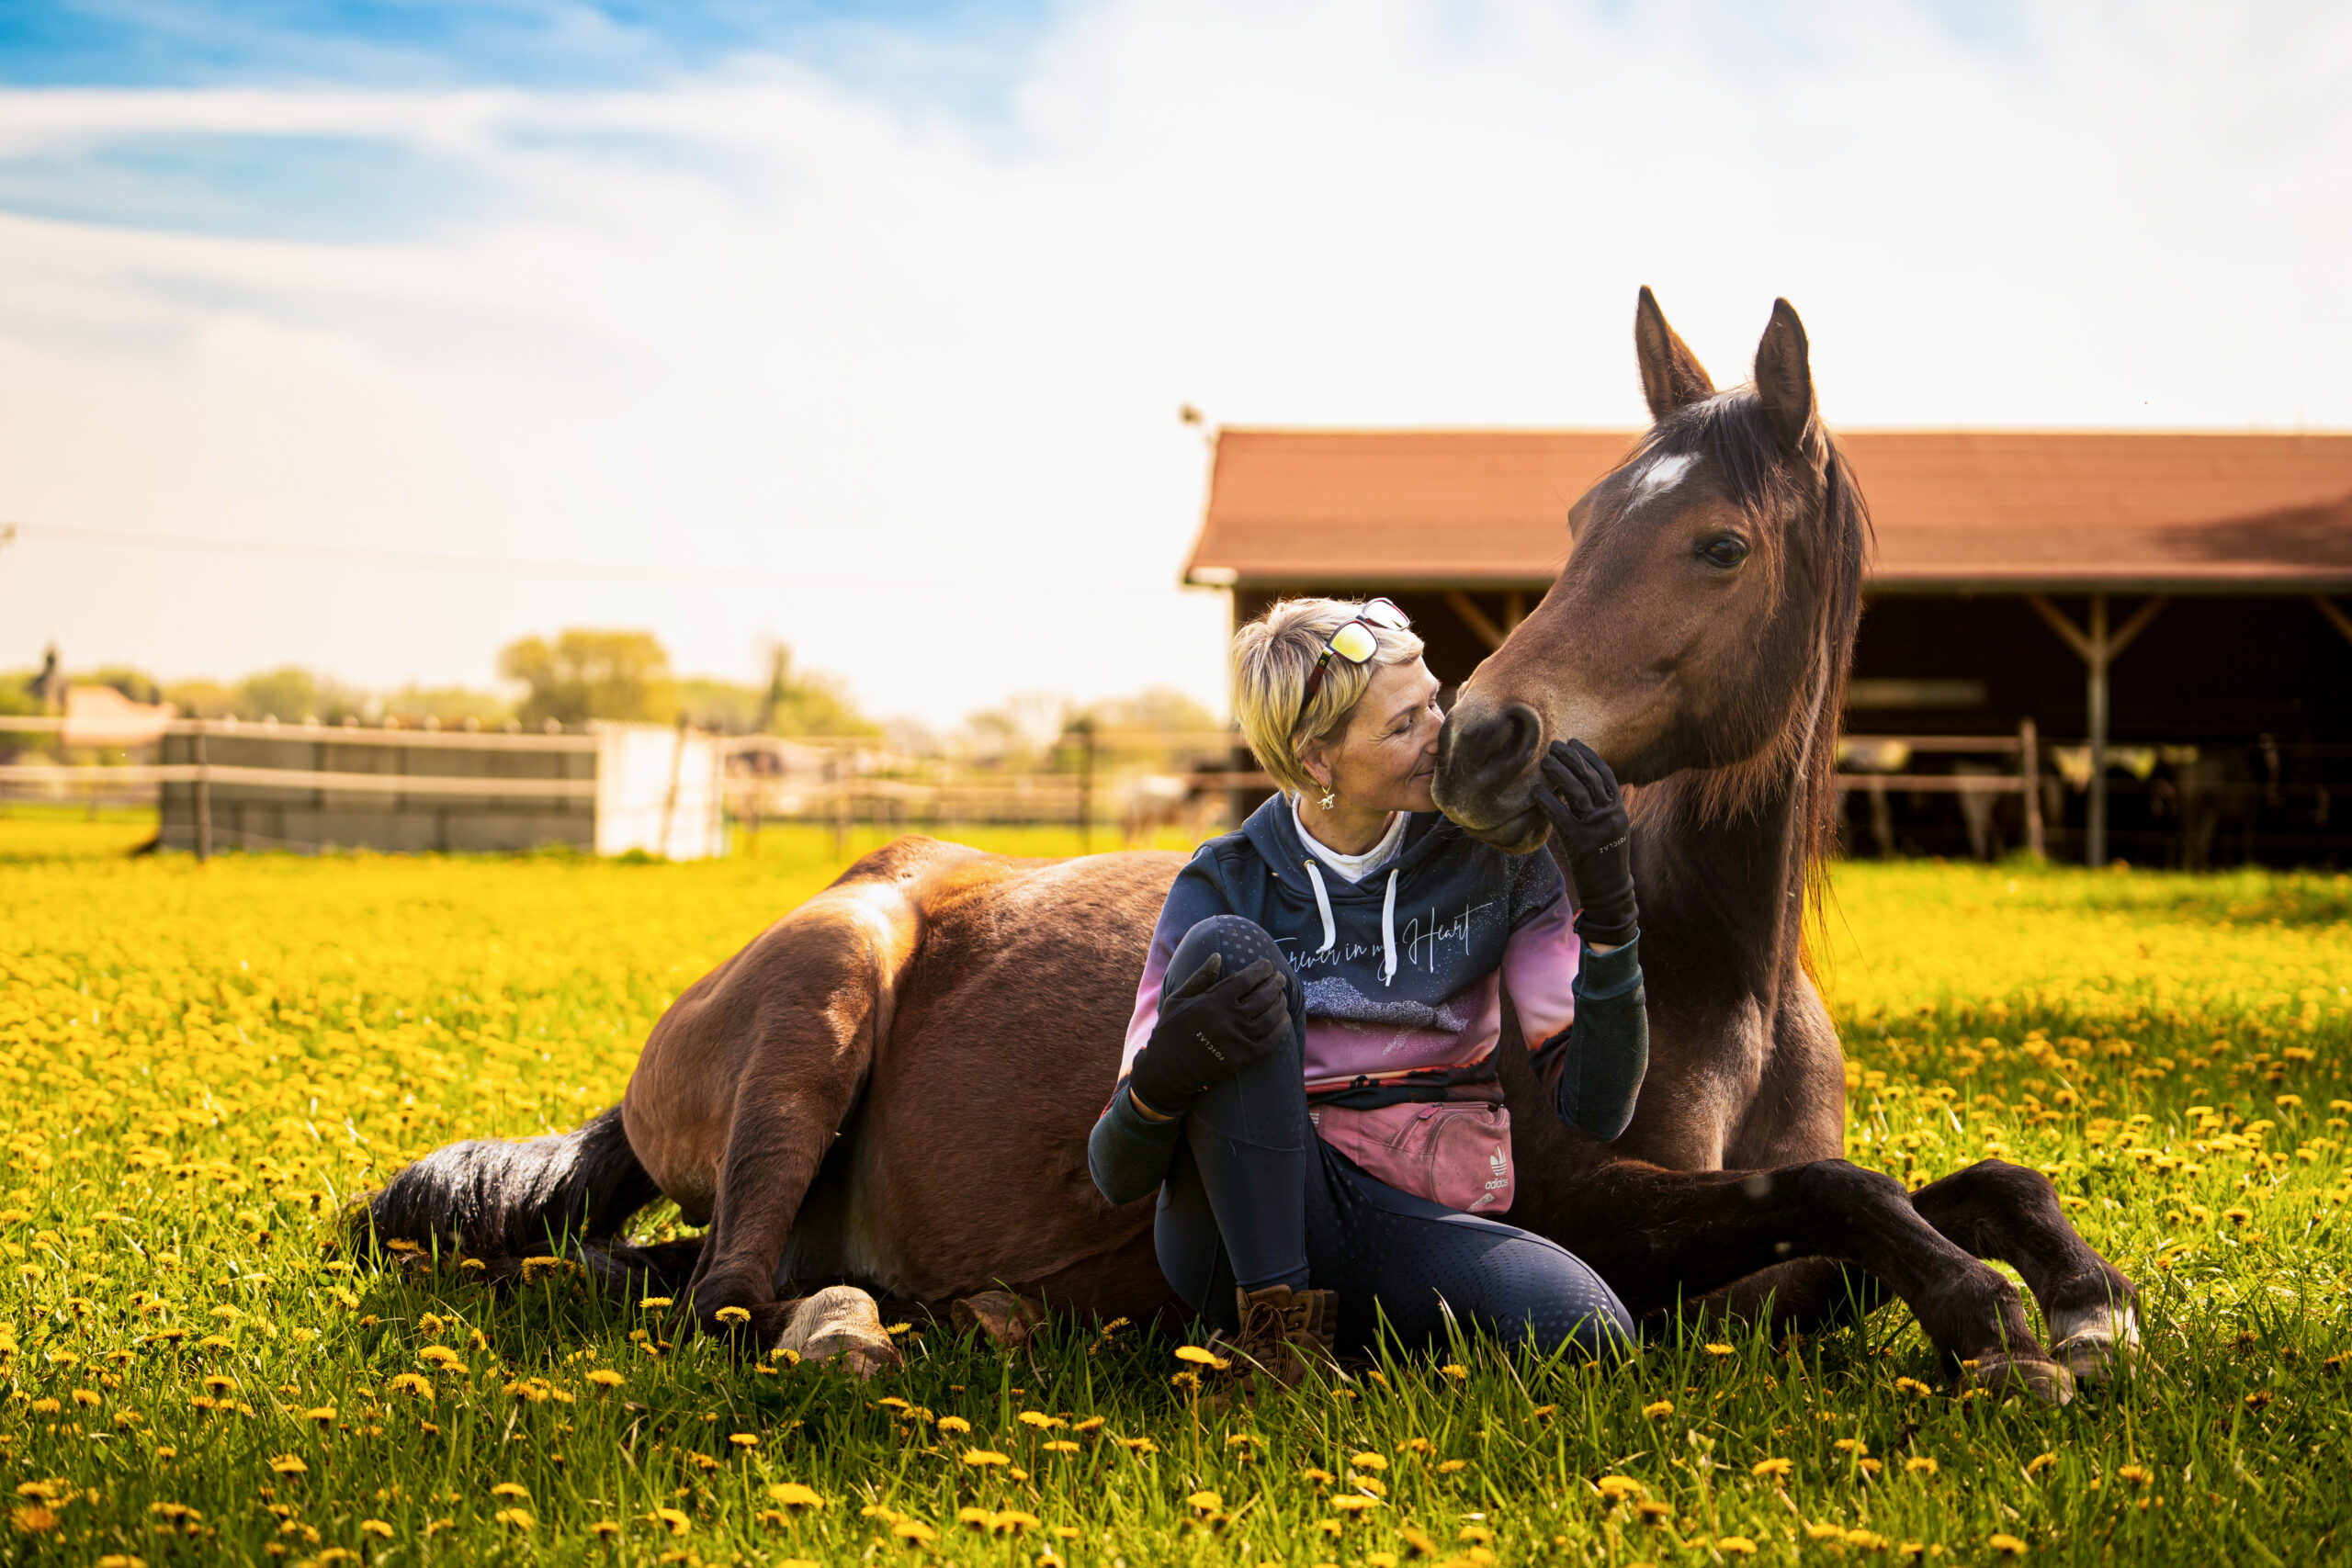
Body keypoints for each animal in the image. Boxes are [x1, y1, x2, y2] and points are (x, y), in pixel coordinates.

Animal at [362, 291, 2135, 1401]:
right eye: (1579, 522)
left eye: (1717, 542)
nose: (1488, 735)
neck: (1723, 980)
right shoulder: (1585, 1220)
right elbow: (1841, 1188)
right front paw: (2000, 1319)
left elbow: (1957, 1179)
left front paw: (2088, 1298)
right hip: (826, 993)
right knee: (720, 1294)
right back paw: (861, 1336)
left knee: (651, 1271)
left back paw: (973, 1311)